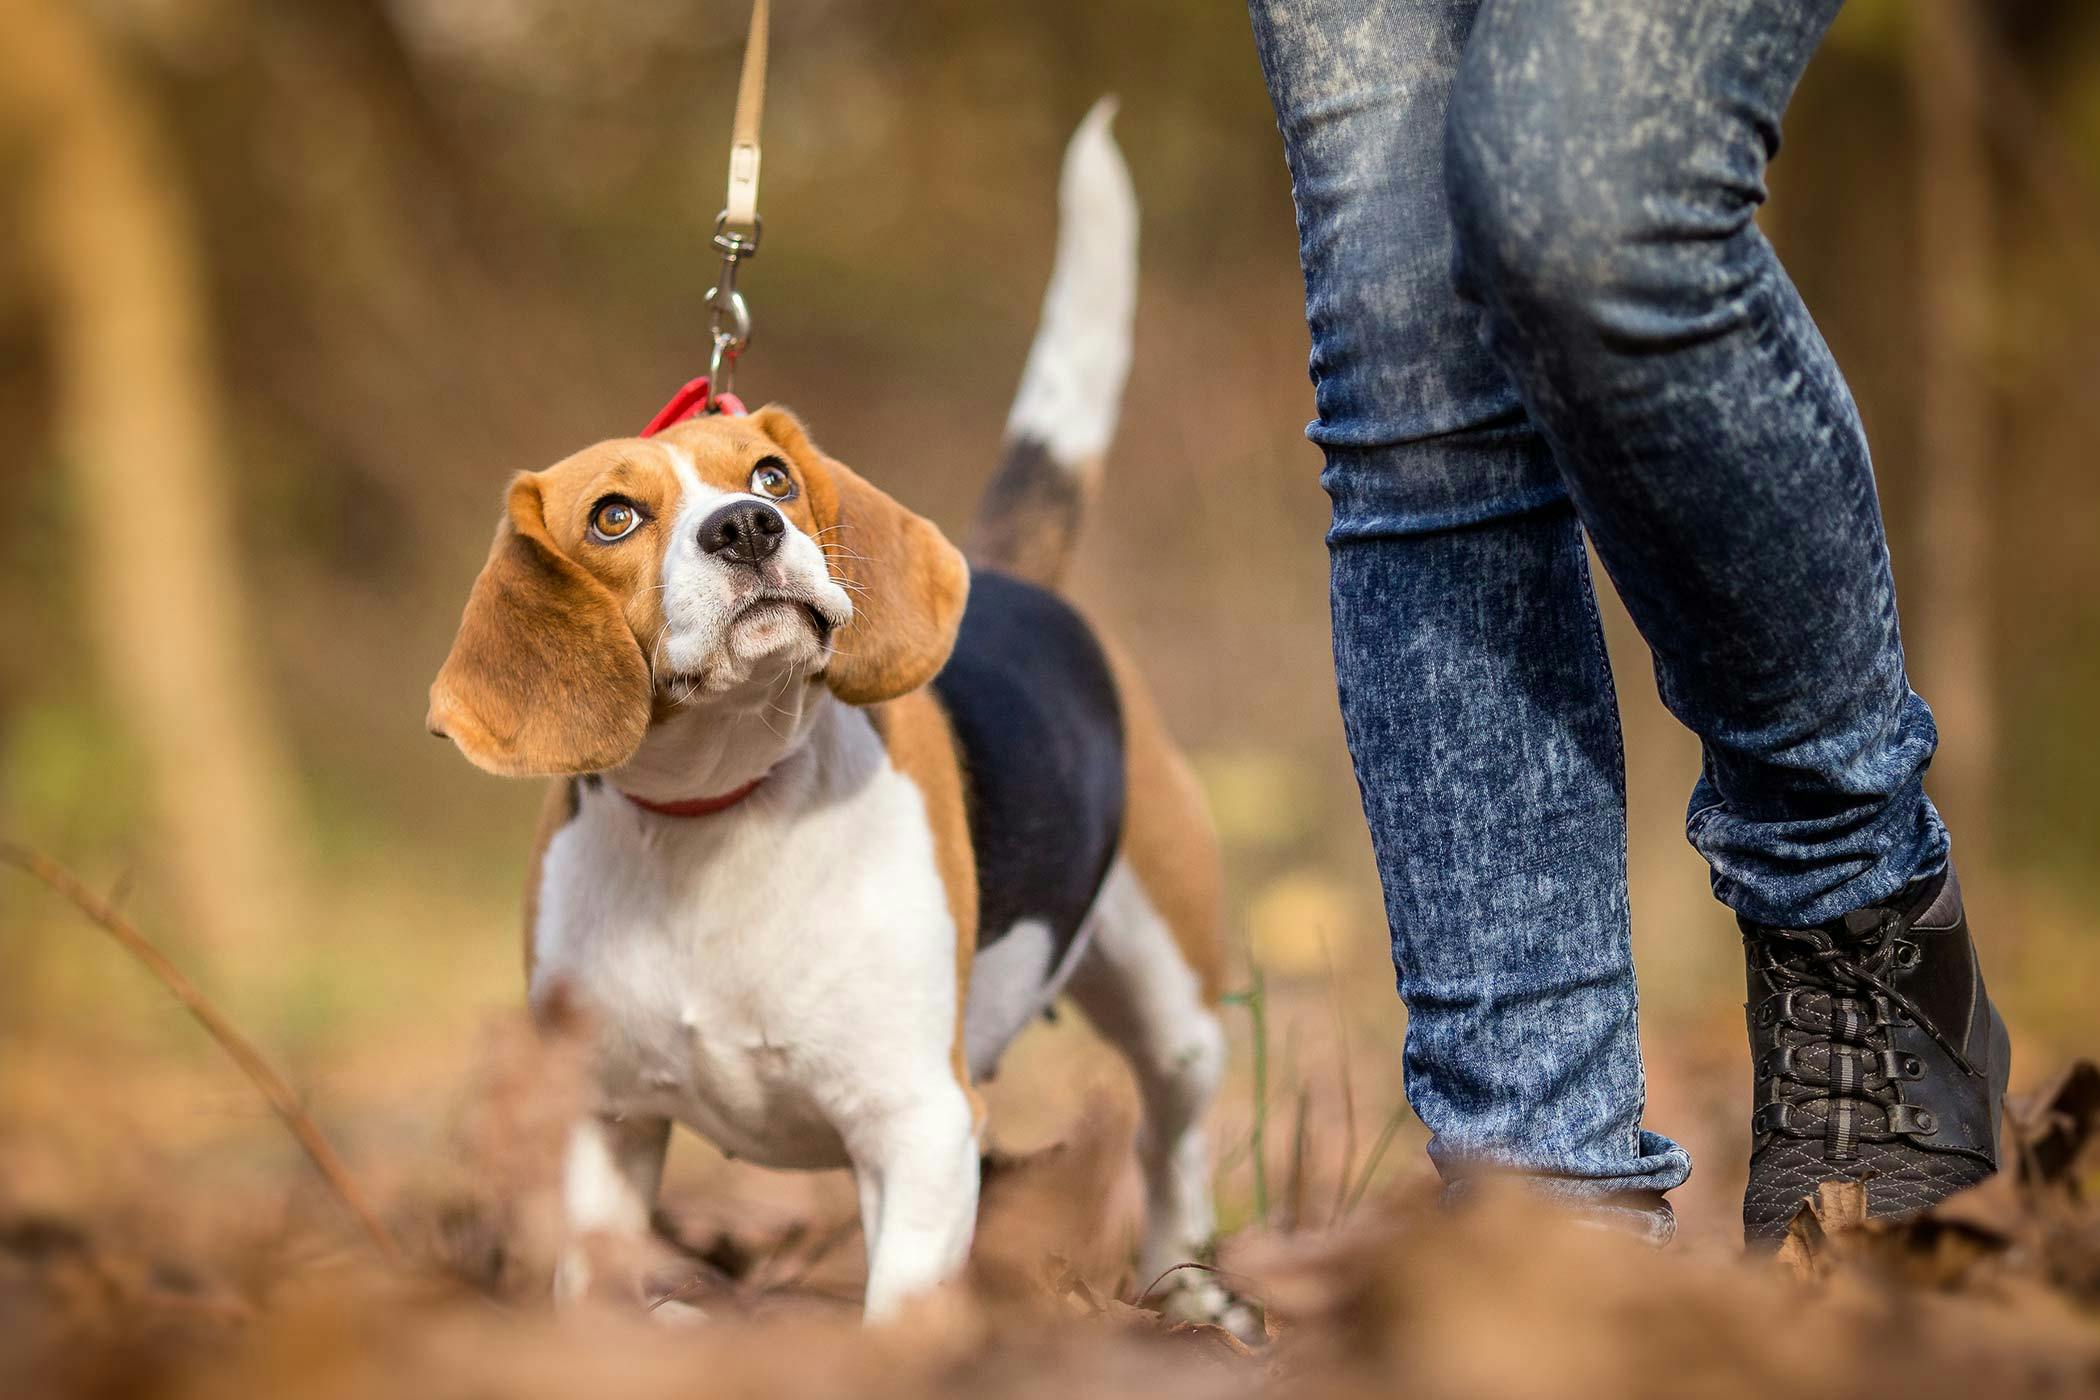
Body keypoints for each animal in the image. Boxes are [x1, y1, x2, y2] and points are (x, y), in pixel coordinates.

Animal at [432, 109, 1234, 1326]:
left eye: (770, 473)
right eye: (614, 516)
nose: (749, 527)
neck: (718, 814)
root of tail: (1012, 576)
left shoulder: (918, 1125)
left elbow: (898, 1315)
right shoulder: (606, 1122)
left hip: (1176, 1010)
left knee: (1171, 1149)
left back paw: (1191, 1302)